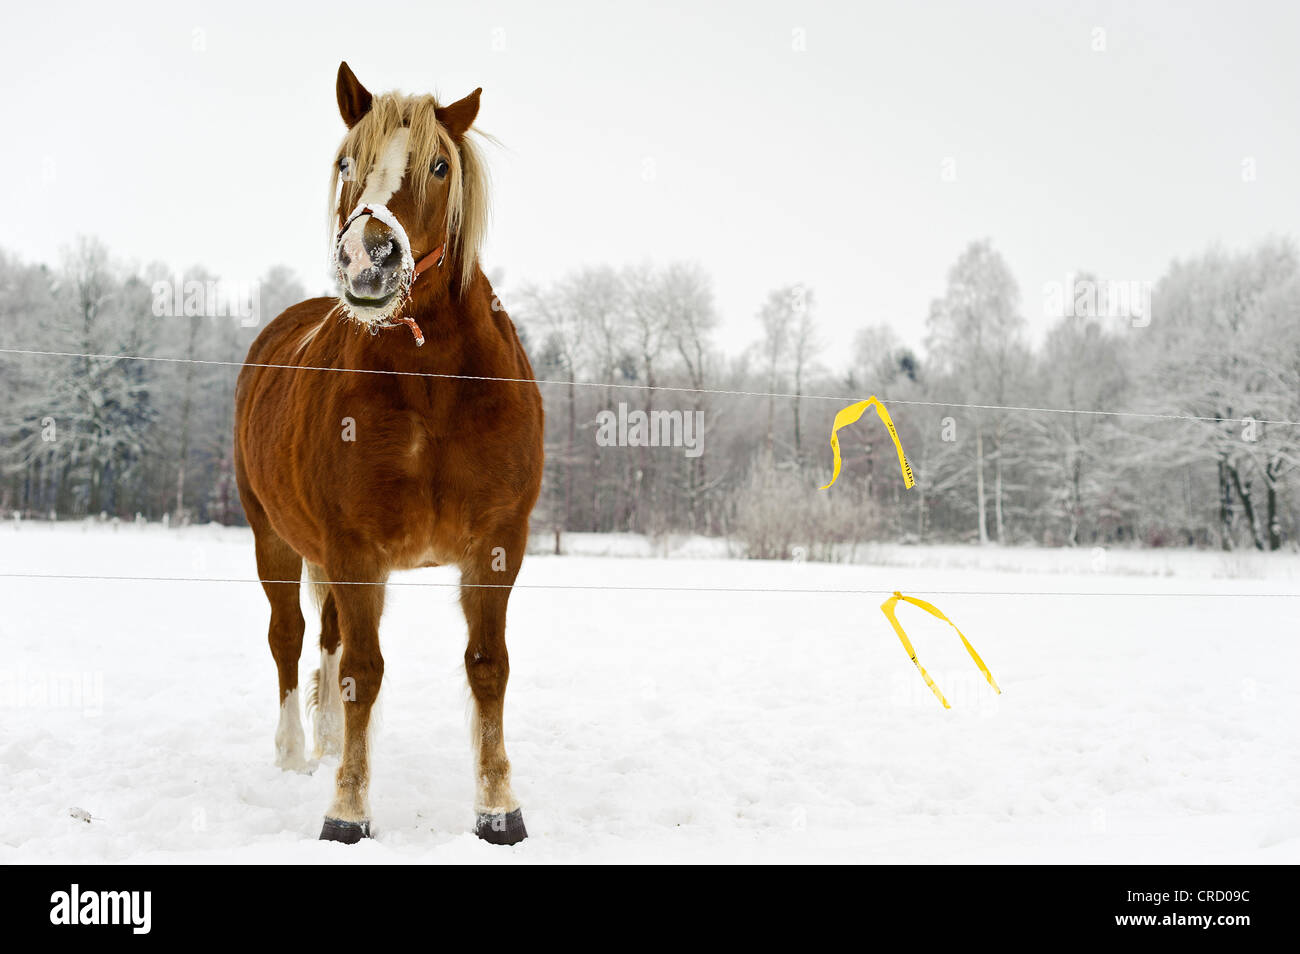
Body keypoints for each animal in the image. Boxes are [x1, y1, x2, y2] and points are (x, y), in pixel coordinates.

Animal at [233, 63, 543, 847]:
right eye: (348, 162)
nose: (367, 259)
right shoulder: (354, 549)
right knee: (289, 637)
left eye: (439, 166)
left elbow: (487, 666)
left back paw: (328, 740)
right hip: (272, 538)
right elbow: (362, 672)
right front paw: (346, 812)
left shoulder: (497, 545)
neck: (432, 389)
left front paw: (499, 810)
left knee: (328, 637)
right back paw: (294, 753)